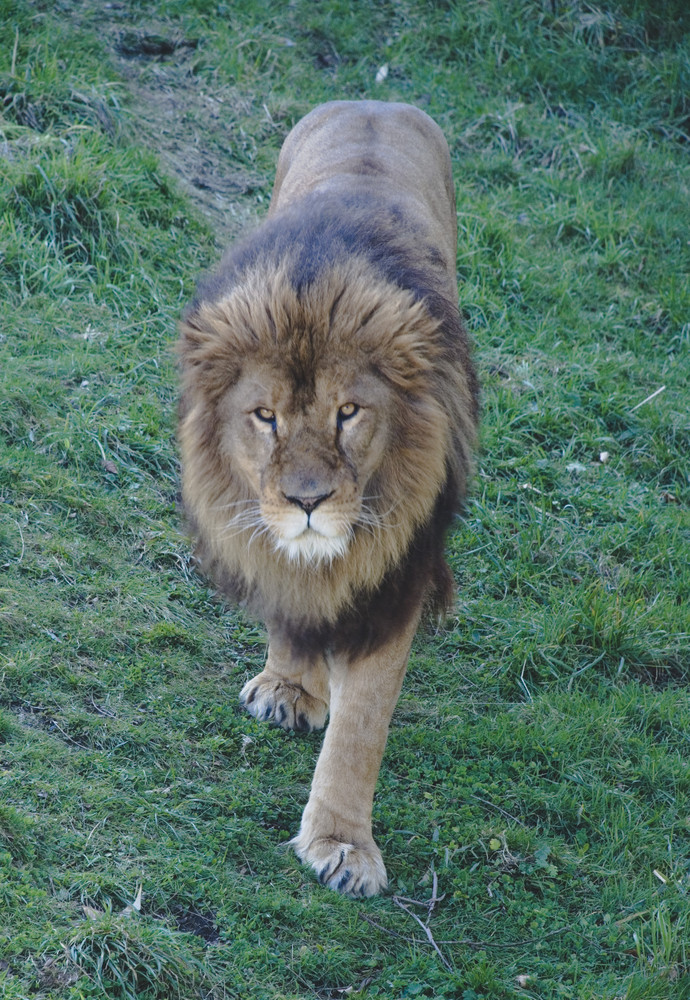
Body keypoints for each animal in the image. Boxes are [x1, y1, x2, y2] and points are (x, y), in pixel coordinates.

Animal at [177, 101, 478, 900]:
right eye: (266, 416)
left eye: (349, 413)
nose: (307, 501)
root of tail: (375, 102)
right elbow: (292, 609)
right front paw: (287, 687)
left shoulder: (397, 577)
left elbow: (363, 725)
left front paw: (344, 845)